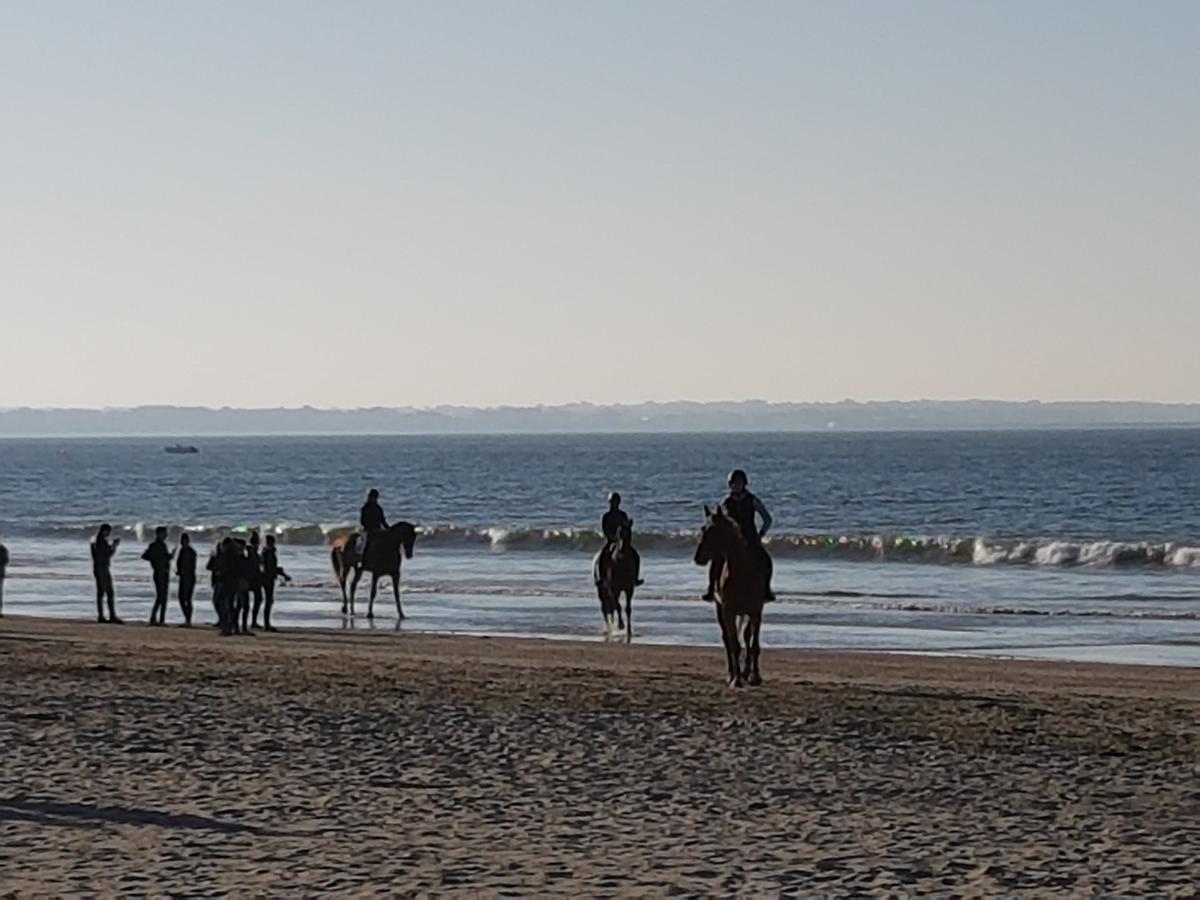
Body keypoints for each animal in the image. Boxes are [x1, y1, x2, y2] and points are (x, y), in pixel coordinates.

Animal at [700, 508, 763, 691]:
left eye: (713, 531)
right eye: (702, 529)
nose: (698, 558)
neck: (741, 573)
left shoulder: (756, 611)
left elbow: (754, 644)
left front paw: (755, 676)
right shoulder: (728, 612)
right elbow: (734, 644)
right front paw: (736, 680)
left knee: (747, 637)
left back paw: (746, 673)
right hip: (720, 610)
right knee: (727, 639)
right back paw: (732, 674)